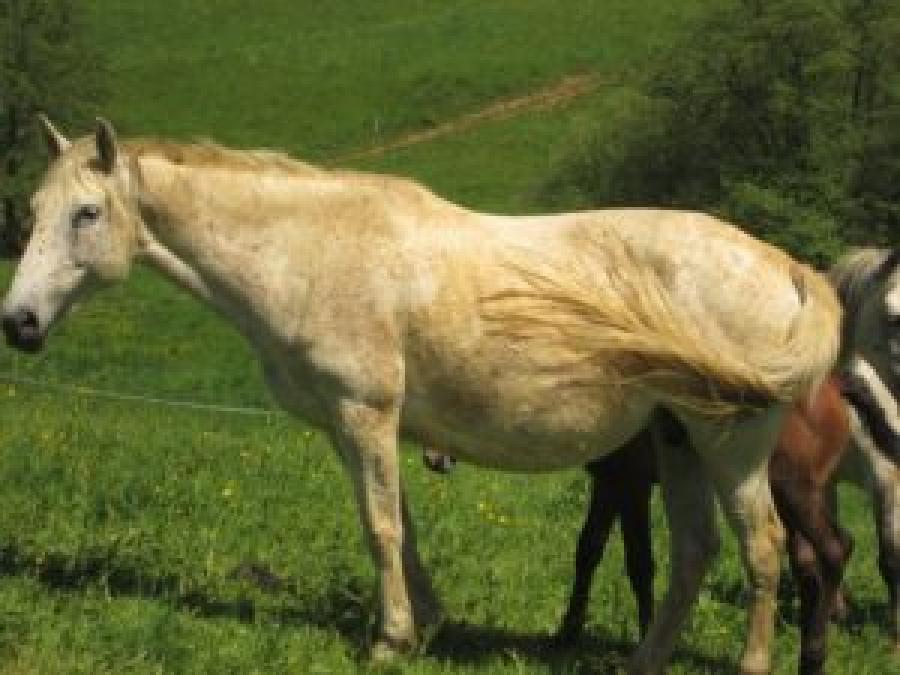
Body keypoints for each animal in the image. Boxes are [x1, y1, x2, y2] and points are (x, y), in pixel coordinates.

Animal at [1, 119, 844, 672]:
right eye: (33, 212)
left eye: (87, 213)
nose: (20, 322)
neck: (312, 253)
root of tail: (788, 268)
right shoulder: (355, 426)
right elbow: (396, 525)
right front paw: (427, 625)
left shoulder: (364, 414)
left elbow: (379, 527)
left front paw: (390, 638)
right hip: (678, 442)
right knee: (696, 550)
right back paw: (643, 660)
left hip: (732, 448)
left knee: (763, 548)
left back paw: (752, 663)